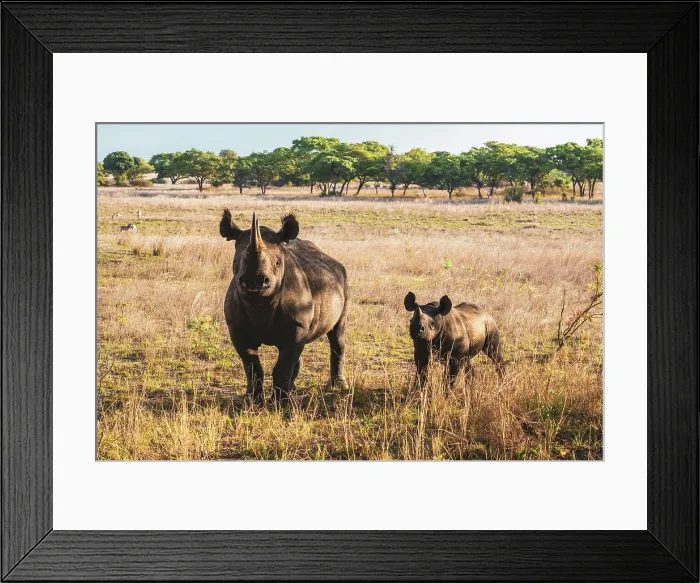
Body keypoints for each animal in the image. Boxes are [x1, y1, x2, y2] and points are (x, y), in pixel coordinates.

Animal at [220, 210, 349, 404]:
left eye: (278, 264)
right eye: (235, 262)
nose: (254, 282)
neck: (259, 303)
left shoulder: (296, 324)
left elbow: (282, 366)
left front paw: (280, 404)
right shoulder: (236, 327)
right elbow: (252, 365)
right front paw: (252, 401)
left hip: (344, 279)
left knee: (337, 333)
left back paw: (337, 387)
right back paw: (293, 387)